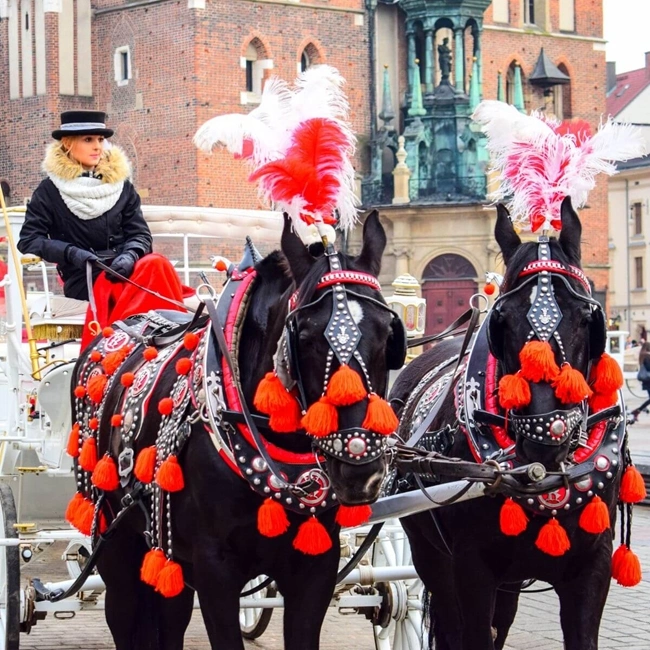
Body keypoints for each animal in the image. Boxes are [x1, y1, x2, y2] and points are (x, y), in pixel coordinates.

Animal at [66, 210, 400, 644]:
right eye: (306, 337)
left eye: (388, 334)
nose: (361, 471)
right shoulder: (214, 571)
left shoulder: (316, 568)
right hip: (115, 538)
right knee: (122, 613)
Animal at [388, 199, 624, 648]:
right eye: (502, 319)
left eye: (587, 316)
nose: (548, 435)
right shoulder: (471, 568)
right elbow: (473, 634)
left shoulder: (593, 569)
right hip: (430, 554)